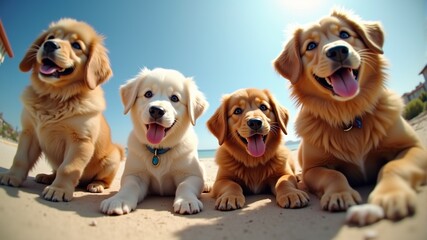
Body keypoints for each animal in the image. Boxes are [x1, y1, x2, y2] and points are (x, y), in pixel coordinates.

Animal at [0, 18, 123, 202]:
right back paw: (47, 177)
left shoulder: (80, 141)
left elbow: (68, 168)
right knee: (55, 169)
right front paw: (12, 176)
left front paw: (59, 189)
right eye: (50, 37)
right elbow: (20, 158)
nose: (50, 45)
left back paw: (96, 185)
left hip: (112, 159)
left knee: (103, 180)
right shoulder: (29, 132)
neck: (55, 96)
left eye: (76, 45)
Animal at [276, 9, 426, 226]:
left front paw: (390, 194)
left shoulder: (413, 147)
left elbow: (393, 166)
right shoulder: (313, 168)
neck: (349, 114)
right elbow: (333, 174)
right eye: (311, 46)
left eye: (345, 34)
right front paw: (340, 194)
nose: (338, 51)